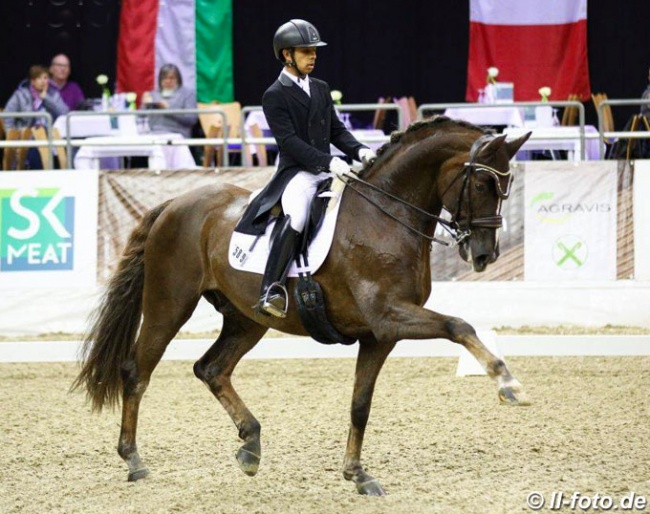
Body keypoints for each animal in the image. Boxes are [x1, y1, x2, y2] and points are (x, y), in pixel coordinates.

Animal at [74, 115, 532, 492]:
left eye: (505, 188)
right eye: (482, 184)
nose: (484, 255)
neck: (386, 214)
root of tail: (175, 203)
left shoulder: (379, 336)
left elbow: (360, 405)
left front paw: (357, 475)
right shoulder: (389, 317)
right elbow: (460, 326)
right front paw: (508, 384)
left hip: (246, 319)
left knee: (211, 368)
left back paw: (251, 446)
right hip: (169, 305)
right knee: (137, 372)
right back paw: (135, 461)